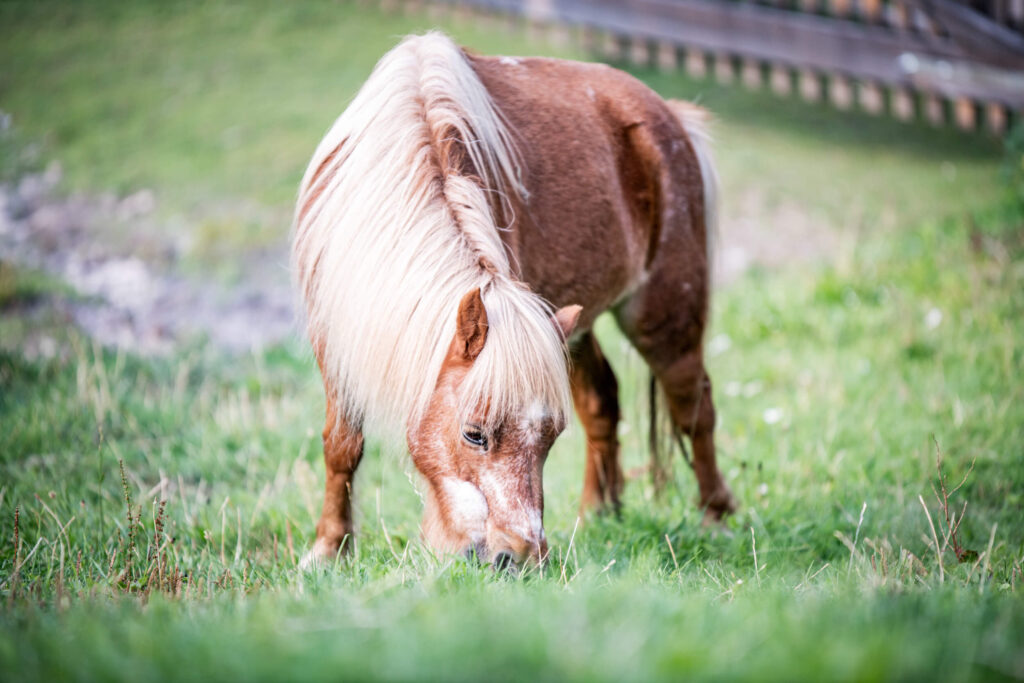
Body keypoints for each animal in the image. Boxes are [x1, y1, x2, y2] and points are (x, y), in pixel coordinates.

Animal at [292, 31, 733, 573]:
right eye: (474, 434)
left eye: (551, 438)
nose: (520, 557)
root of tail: (667, 115)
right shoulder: (335, 339)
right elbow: (342, 446)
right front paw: (328, 549)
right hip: (573, 328)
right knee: (603, 402)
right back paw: (598, 514)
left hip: (662, 319)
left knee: (694, 408)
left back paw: (715, 519)